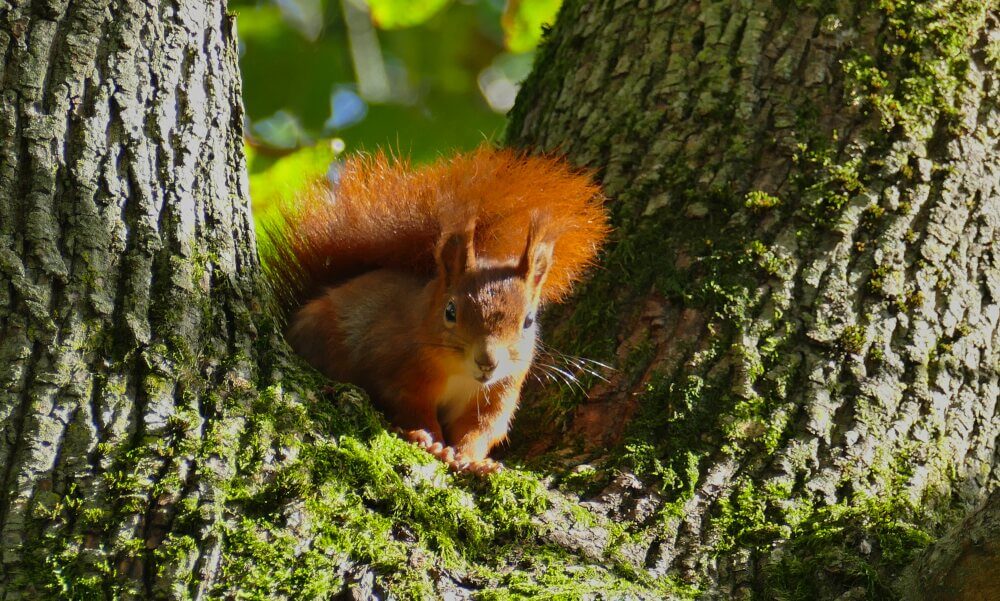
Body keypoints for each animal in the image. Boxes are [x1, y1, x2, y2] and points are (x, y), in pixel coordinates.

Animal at [262, 146, 608, 474]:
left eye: (529, 321)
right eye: (450, 311)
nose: (488, 361)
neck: (461, 373)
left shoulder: (500, 392)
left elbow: (479, 430)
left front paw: (474, 460)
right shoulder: (396, 369)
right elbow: (412, 409)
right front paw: (431, 441)